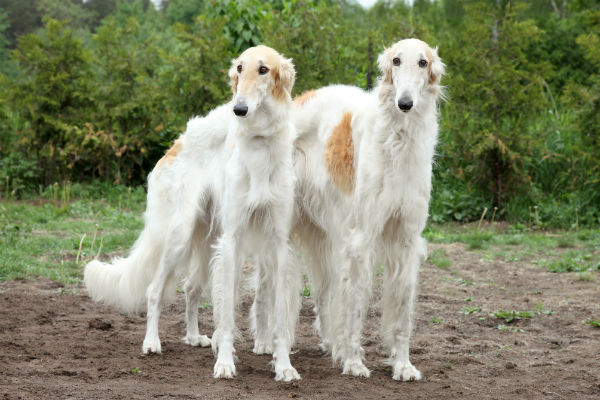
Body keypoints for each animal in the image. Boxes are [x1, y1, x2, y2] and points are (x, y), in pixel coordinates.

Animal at [292, 39, 442, 382]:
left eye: (423, 62)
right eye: (396, 61)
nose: (405, 103)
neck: (398, 139)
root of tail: (301, 97)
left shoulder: (406, 238)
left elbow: (402, 311)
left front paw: (403, 365)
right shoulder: (361, 237)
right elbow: (357, 304)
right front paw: (353, 362)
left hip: (325, 234)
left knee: (324, 292)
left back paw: (330, 344)